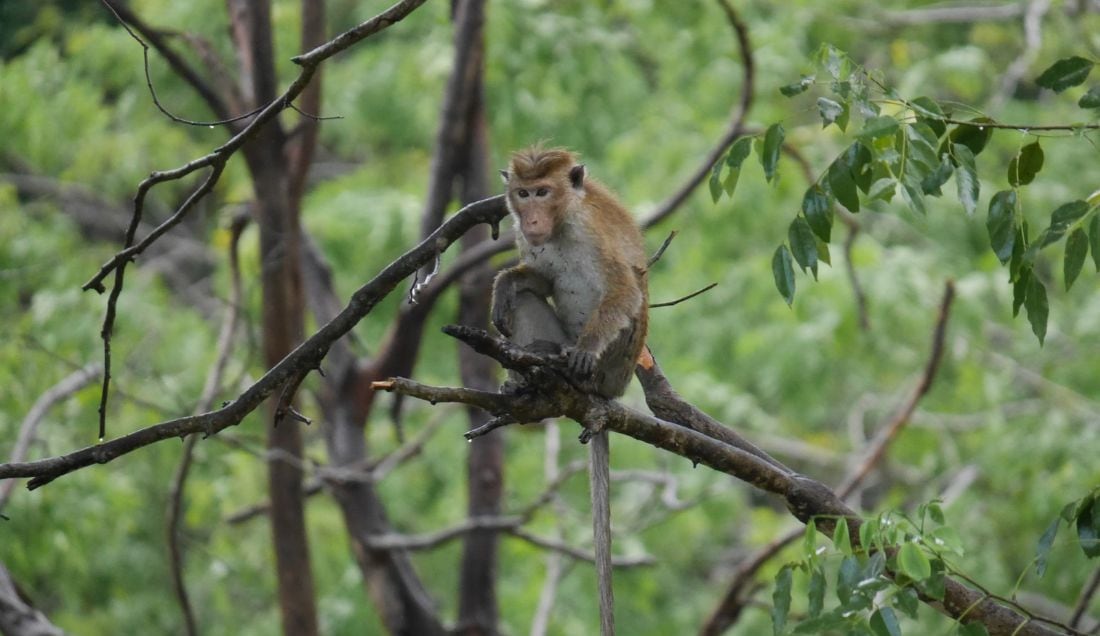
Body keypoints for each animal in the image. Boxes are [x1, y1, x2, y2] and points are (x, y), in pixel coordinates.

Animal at [492, 146, 648, 636]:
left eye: (544, 192)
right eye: (523, 194)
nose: (532, 218)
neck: (562, 222)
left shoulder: (592, 232)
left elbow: (623, 289)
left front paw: (586, 350)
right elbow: (535, 281)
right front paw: (503, 284)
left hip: (617, 367)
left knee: (628, 304)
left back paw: (573, 368)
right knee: (526, 303)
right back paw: (532, 370)